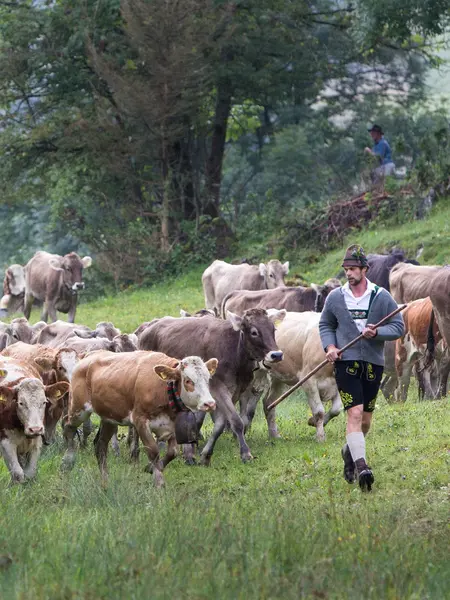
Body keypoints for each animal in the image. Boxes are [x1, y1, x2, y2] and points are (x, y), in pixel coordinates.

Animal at [62, 352, 218, 488]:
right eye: (188, 380)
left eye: (208, 379)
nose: (209, 403)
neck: (162, 388)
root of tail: (89, 355)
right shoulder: (140, 421)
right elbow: (153, 451)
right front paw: (159, 482)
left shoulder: (171, 424)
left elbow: (172, 452)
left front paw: (151, 468)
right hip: (78, 409)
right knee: (68, 426)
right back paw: (68, 461)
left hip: (110, 418)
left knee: (100, 445)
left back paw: (105, 481)